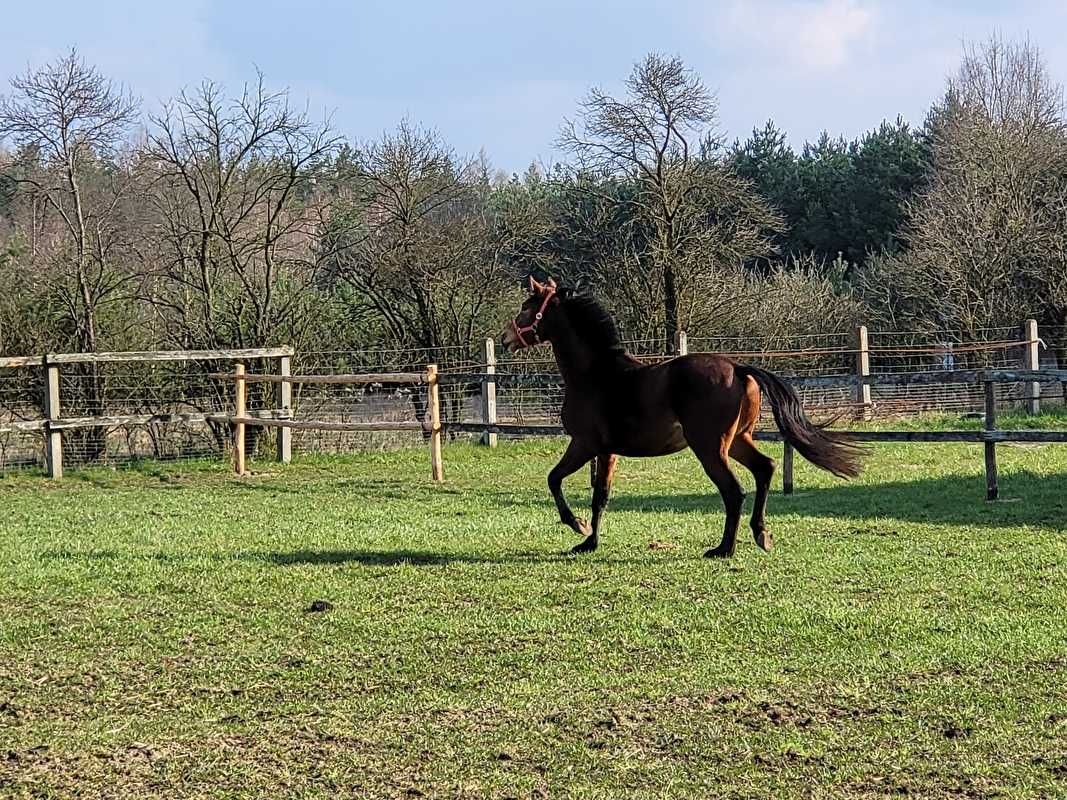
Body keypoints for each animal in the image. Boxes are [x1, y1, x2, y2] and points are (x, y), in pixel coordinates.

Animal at [501, 279, 866, 558]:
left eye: (527, 307)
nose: (505, 338)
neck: (596, 374)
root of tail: (738, 368)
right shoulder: (608, 451)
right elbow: (600, 496)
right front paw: (589, 541)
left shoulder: (584, 444)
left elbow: (554, 479)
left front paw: (577, 525)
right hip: (738, 441)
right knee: (765, 468)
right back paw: (761, 534)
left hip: (710, 447)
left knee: (734, 491)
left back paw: (724, 549)